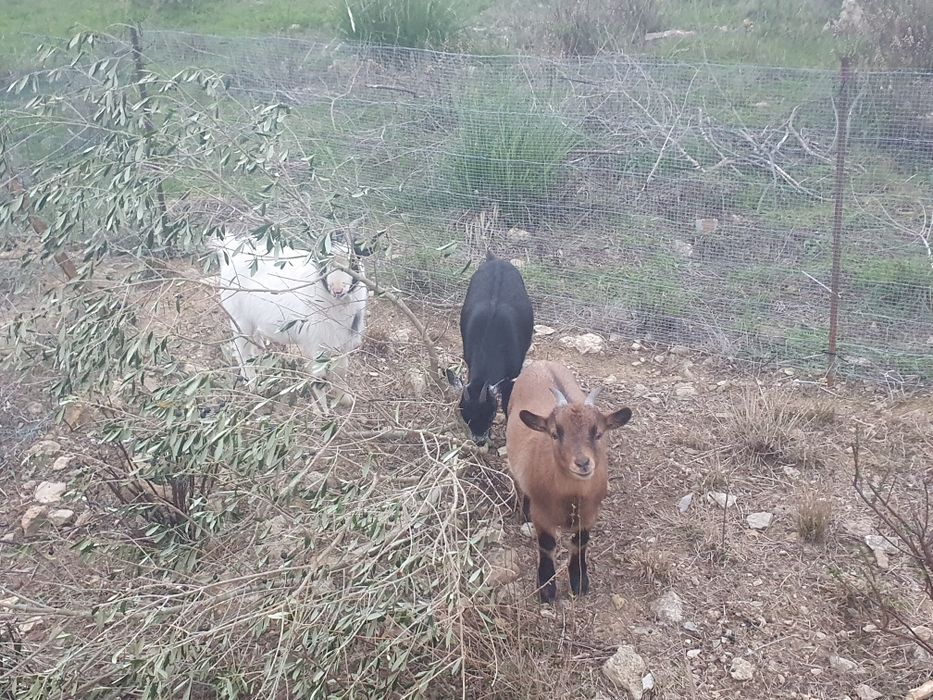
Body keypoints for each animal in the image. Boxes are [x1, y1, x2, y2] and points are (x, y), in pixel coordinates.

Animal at [212, 229, 373, 402]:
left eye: (354, 261)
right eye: (323, 262)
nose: (337, 290)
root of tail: (231, 252)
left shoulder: (342, 342)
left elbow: (341, 370)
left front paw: (345, 398)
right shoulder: (315, 343)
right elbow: (319, 378)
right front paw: (322, 406)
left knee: (254, 342)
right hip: (239, 319)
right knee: (241, 350)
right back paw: (253, 384)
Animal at [447, 252, 534, 445]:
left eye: (491, 413)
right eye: (464, 414)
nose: (479, 440)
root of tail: (495, 260)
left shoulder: (513, 374)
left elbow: (508, 401)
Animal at [505, 360, 632, 602]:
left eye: (598, 433)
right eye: (555, 433)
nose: (582, 463)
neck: (570, 497)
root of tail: (542, 362)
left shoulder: (590, 512)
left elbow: (580, 543)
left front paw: (579, 582)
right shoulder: (542, 513)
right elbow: (547, 546)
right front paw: (546, 589)